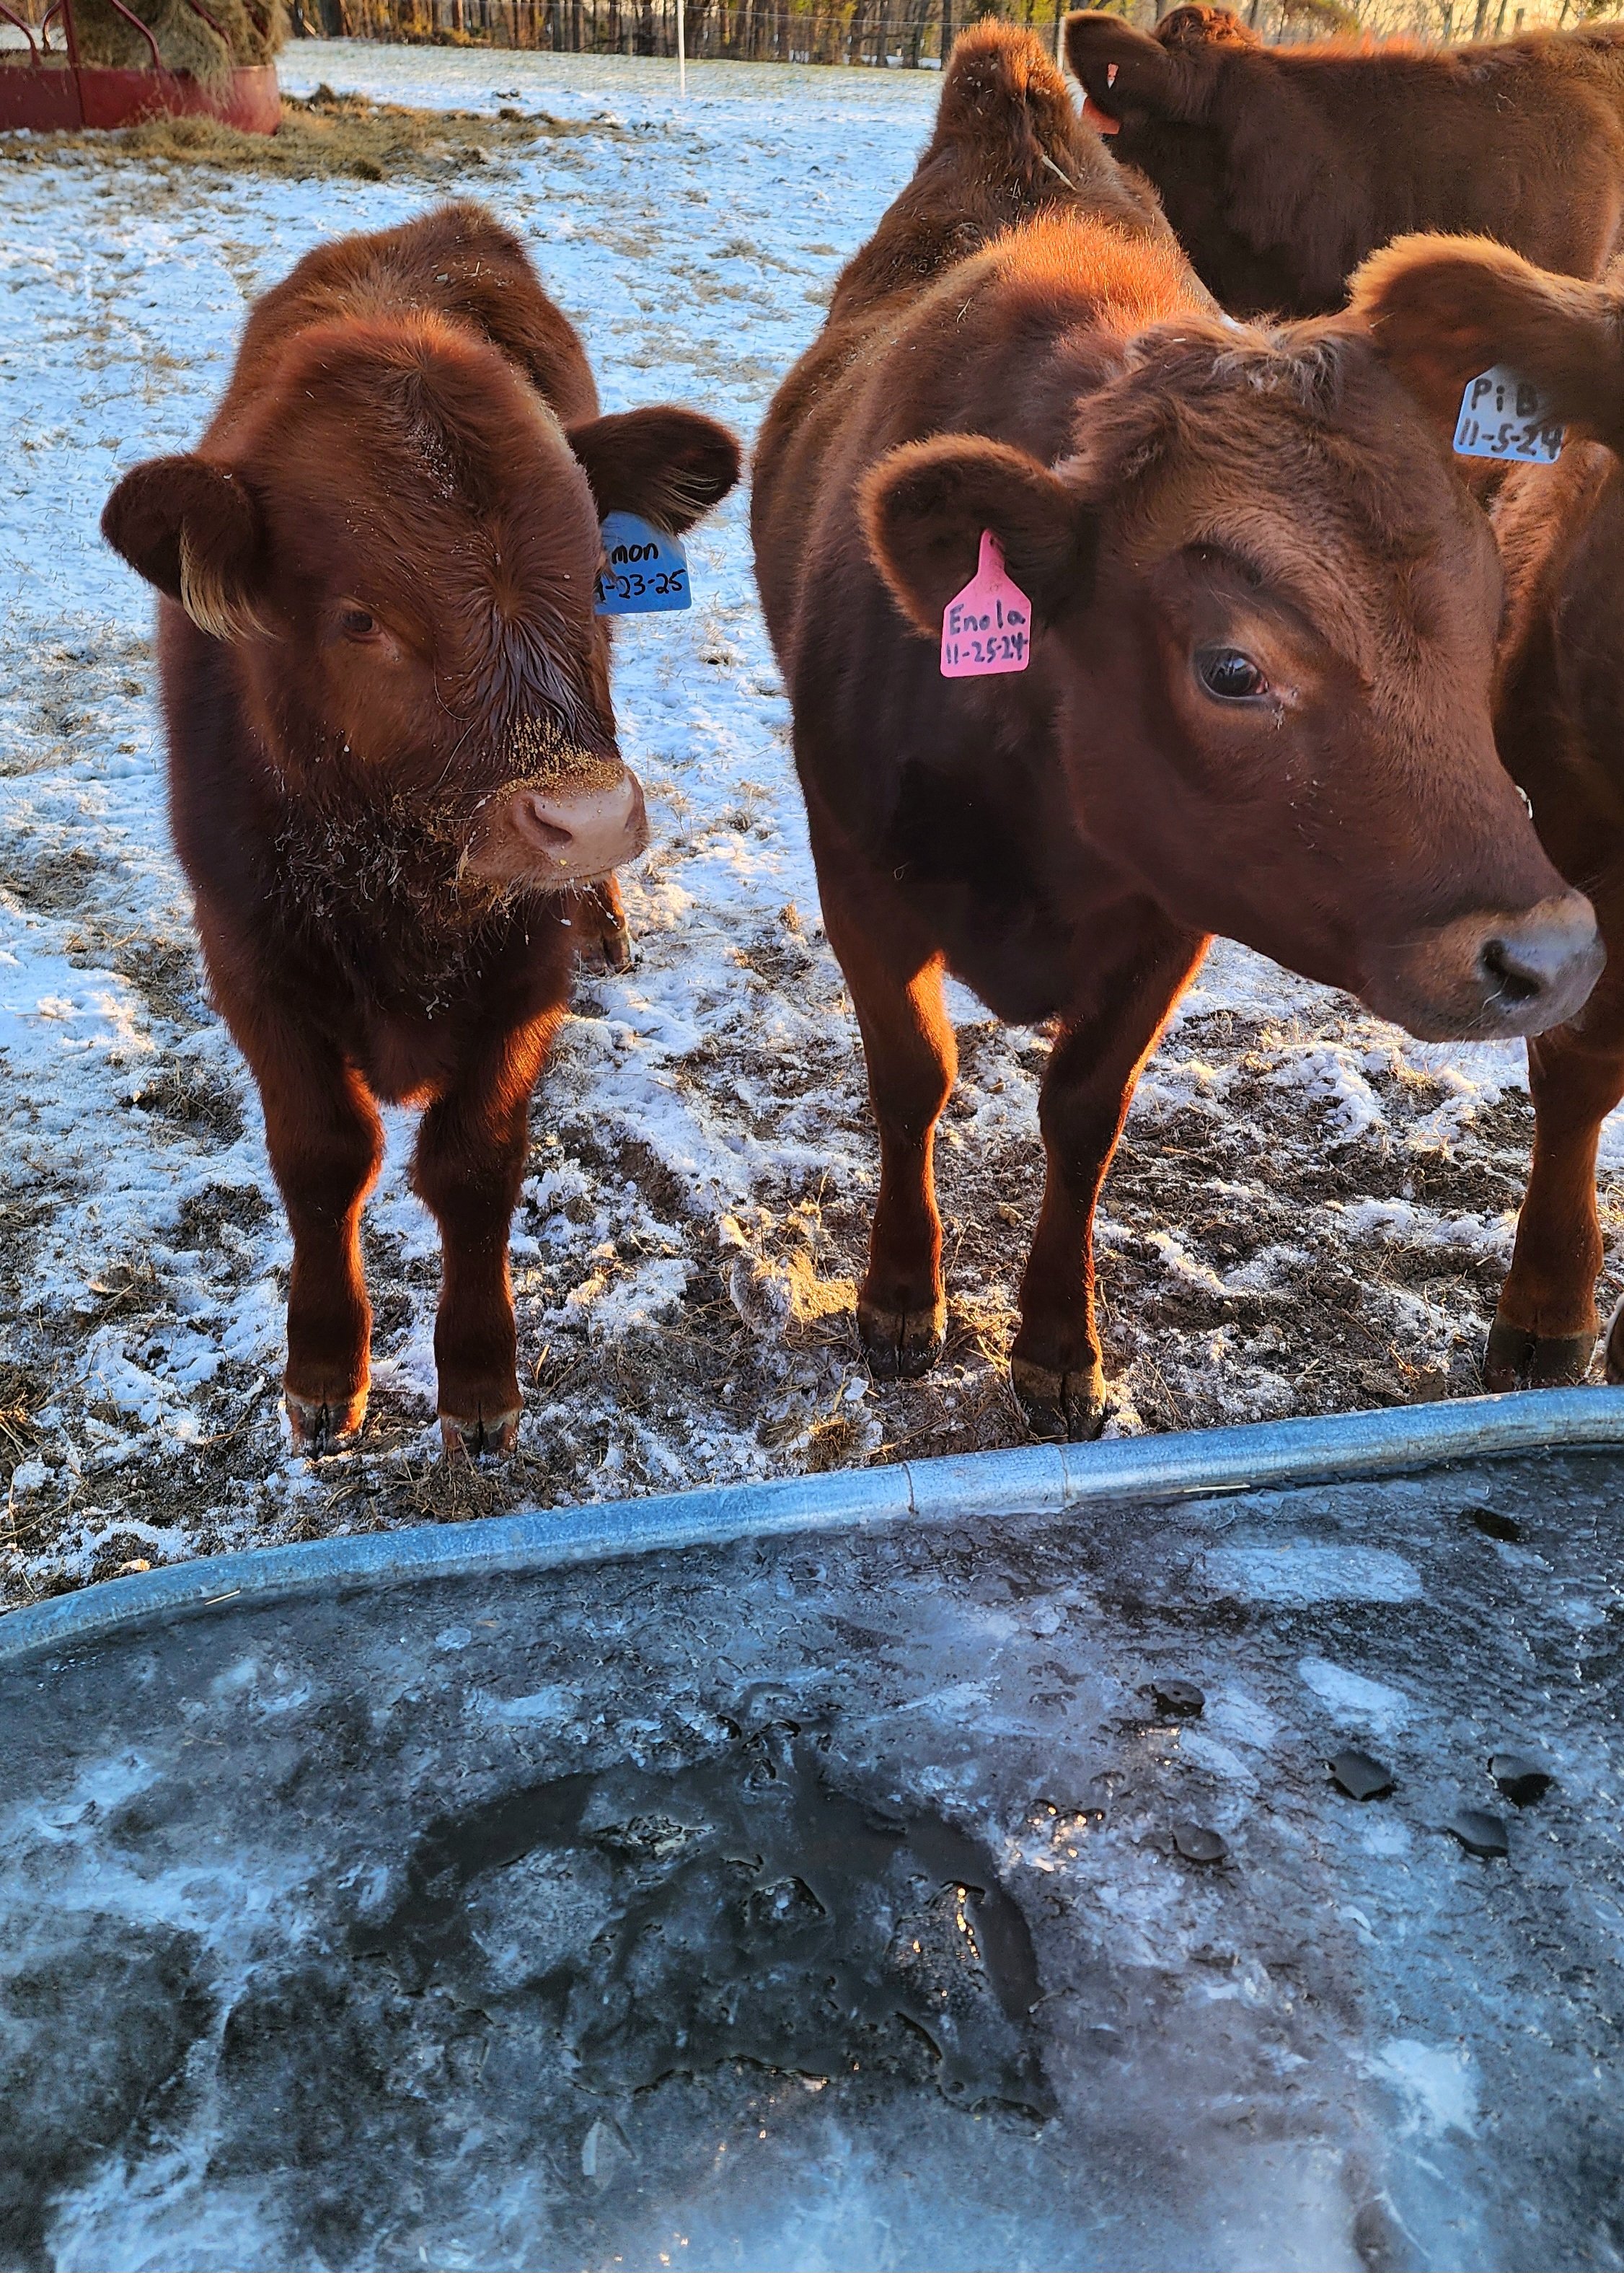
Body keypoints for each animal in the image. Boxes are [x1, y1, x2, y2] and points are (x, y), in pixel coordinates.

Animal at [101, 202, 740, 1457]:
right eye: (362, 620)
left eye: (599, 571)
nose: (587, 815)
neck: (401, 887)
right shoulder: (248, 953)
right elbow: (322, 1157)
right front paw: (322, 1368)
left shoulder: (524, 967)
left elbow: (475, 1164)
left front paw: (481, 1382)